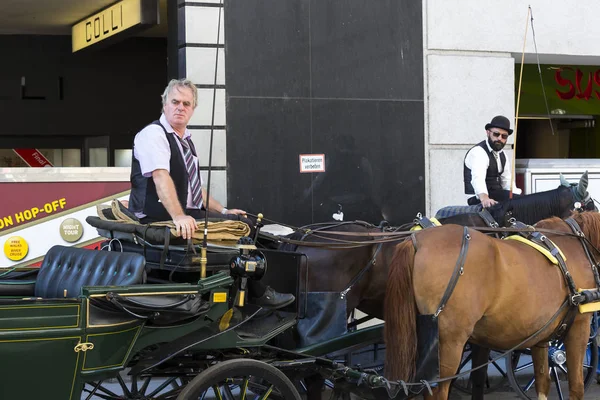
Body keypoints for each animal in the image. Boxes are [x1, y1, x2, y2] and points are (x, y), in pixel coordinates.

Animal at [384, 211, 600, 398]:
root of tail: (417, 241)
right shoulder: (580, 327)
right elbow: (576, 387)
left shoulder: (540, 335)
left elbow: (542, 383)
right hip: (449, 344)